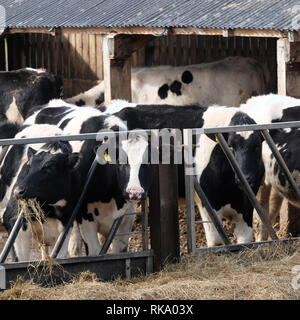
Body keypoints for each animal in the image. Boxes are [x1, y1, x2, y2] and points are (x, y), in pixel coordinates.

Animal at [14, 99, 152, 255]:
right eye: (121, 162)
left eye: (149, 163)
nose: (135, 192)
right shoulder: (85, 217)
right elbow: (95, 251)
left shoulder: (126, 218)